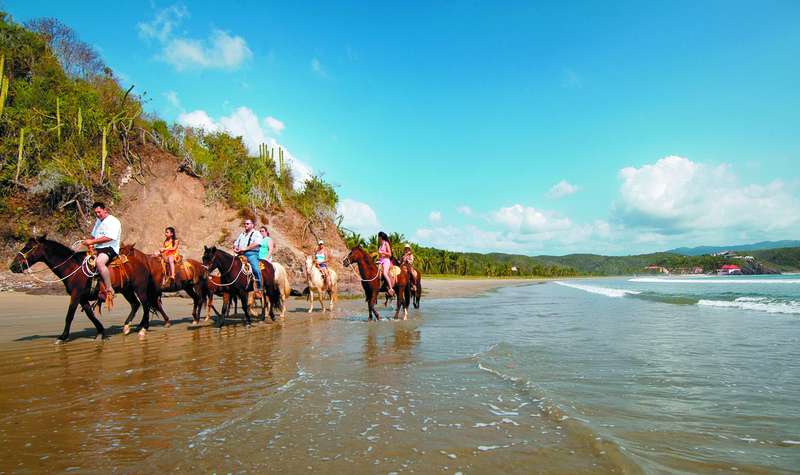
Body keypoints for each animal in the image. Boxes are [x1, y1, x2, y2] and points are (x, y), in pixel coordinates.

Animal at [9, 237, 159, 342]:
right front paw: (101, 332)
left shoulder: (76, 295)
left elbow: (69, 315)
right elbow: (90, 314)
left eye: (28, 247)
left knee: (145, 305)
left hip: (140, 288)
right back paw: (128, 327)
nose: (13, 266)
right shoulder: (82, 298)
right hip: (126, 290)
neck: (72, 267)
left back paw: (143, 328)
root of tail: (144, 258)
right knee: (136, 304)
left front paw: (62, 337)